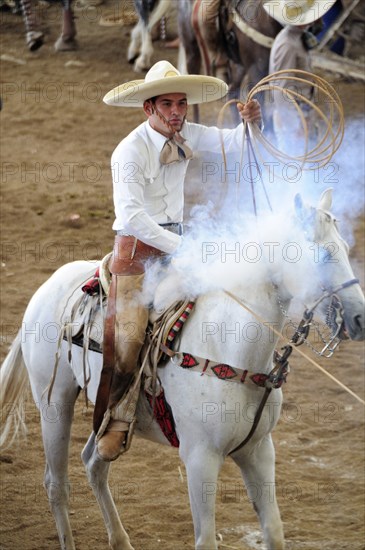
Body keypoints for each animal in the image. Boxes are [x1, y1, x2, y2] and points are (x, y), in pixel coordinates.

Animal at [0, 190, 364, 550]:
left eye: (346, 248)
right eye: (324, 255)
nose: (359, 318)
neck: (229, 349)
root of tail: (47, 286)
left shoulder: (259, 451)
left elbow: (274, 531)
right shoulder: (200, 459)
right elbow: (206, 539)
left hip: (103, 413)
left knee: (93, 462)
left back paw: (121, 540)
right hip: (54, 404)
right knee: (56, 484)